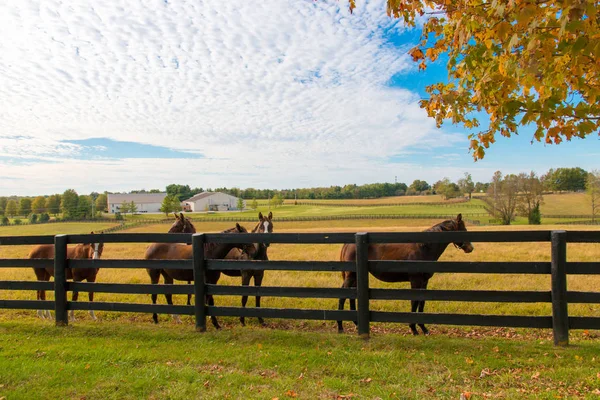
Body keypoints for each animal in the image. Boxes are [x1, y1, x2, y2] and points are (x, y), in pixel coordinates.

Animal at [338, 214, 474, 336]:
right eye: (463, 230)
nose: (470, 248)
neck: (423, 248)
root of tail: (349, 243)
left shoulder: (424, 281)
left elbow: (421, 302)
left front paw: (424, 329)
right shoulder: (415, 280)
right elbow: (414, 302)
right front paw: (413, 329)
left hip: (355, 276)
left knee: (351, 296)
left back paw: (356, 323)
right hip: (351, 276)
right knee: (343, 295)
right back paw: (340, 327)